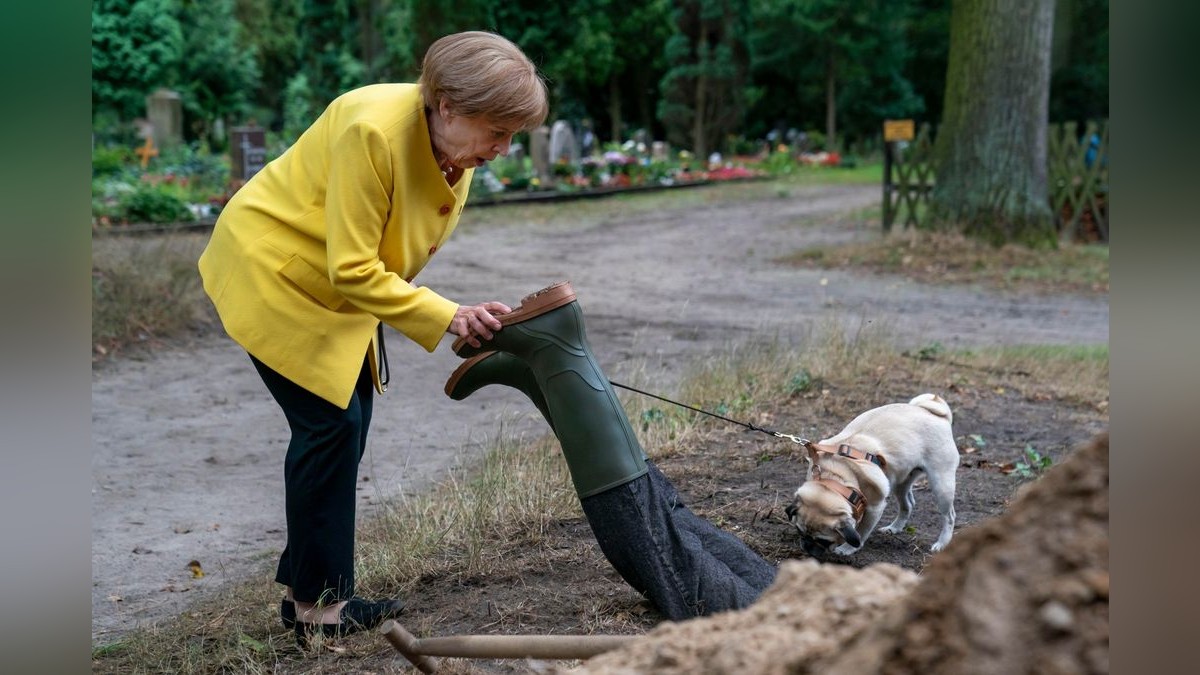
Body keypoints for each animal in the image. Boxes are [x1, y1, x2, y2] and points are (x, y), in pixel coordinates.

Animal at [782, 391, 960, 554]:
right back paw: (894, 528)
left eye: (823, 541)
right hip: (900, 482)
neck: (838, 474)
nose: (807, 547)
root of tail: (934, 413)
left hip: (941, 484)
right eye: (799, 531)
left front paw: (846, 549)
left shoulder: (875, 508)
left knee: (949, 516)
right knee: (907, 505)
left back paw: (942, 544)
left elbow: (861, 531)